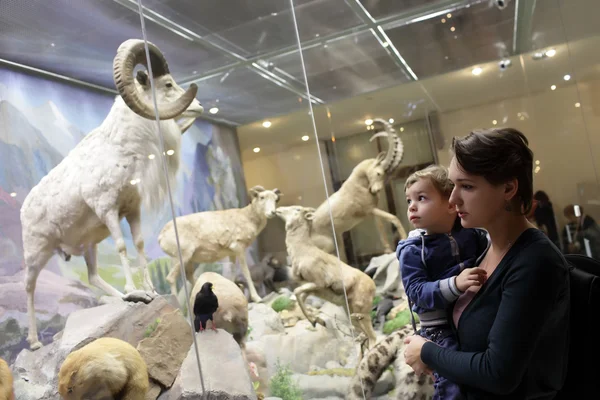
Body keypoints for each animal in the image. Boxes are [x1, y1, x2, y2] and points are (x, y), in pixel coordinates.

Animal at [19, 38, 205, 350]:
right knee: (29, 288)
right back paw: (33, 342)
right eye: (167, 84)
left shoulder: (132, 210)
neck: (124, 148)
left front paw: (149, 290)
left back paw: (126, 298)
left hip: (88, 247)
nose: (200, 107)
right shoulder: (108, 210)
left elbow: (139, 245)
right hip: (37, 254)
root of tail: (24, 208)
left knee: (93, 277)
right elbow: (121, 247)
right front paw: (135, 288)